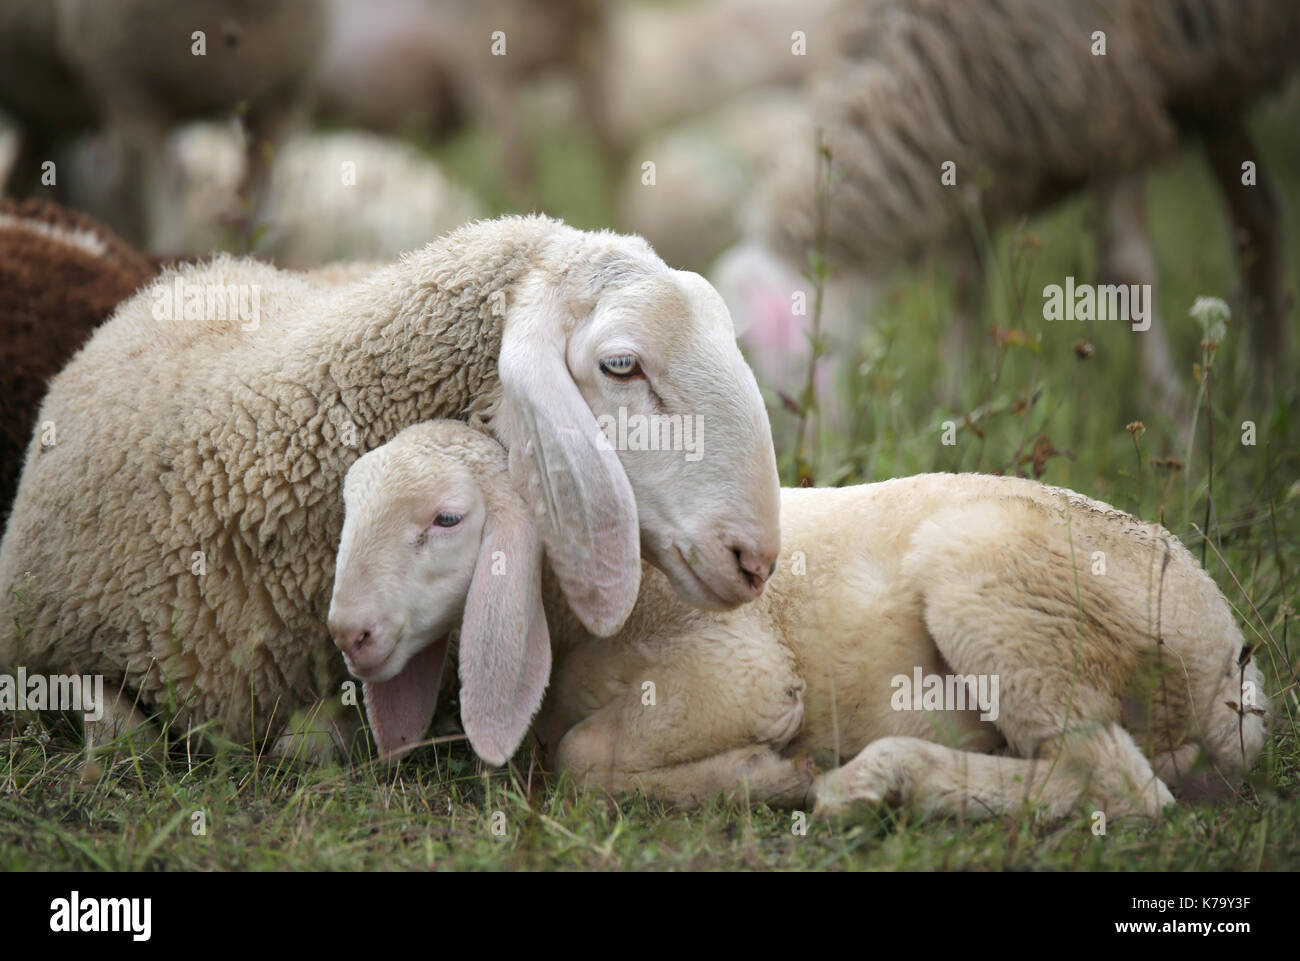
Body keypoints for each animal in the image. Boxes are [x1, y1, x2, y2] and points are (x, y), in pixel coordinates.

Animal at [335, 422, 1268, 818]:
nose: (350, 634)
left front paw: (764, 772)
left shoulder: (733, 667)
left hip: (1004, 595)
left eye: (448, 518)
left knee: (1116, 785)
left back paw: (876, 781)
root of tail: (1228, 659)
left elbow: (580, 756)